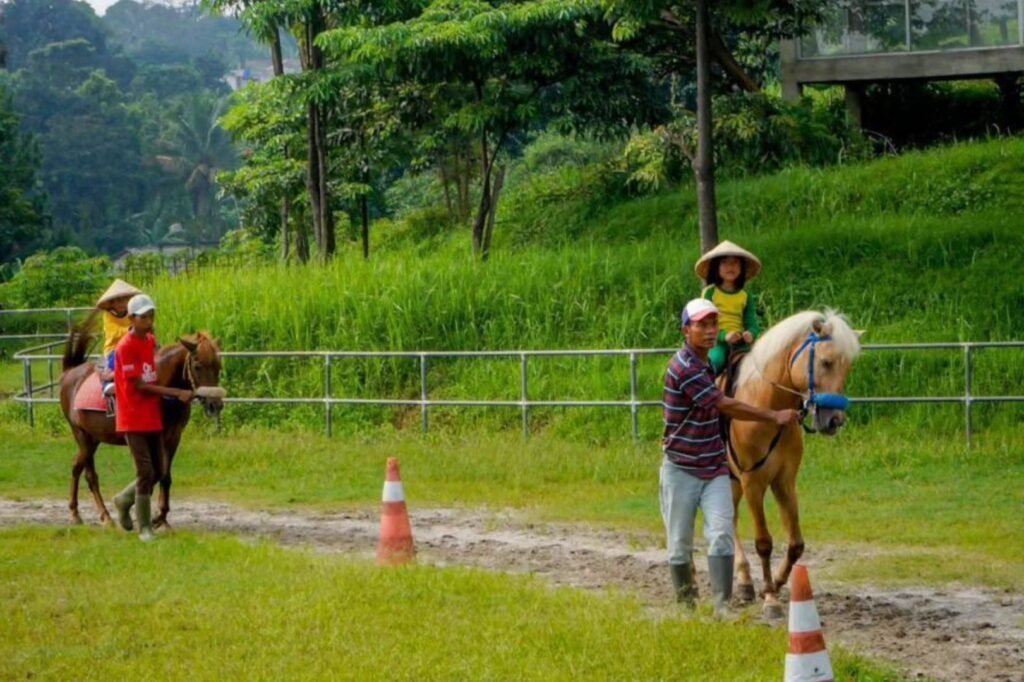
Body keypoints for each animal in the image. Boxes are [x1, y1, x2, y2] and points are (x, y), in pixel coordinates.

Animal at [58, 311, 223, 528]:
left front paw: (162, 518)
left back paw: (76, 513)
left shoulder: (173, 437)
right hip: (82, 435)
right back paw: (104, 516)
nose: (215, 405)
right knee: (90, 475)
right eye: (198, 366)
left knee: (76, 466)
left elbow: (164, 475)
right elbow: (152, 474)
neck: (160, 390)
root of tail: (70, 372)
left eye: (218, 366)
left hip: (93, 438)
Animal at [724, 307, 860, 614]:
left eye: (848, 367)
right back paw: (745, 581)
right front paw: (770, 599)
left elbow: (796, 544)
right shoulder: (753, 482)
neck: (766, 408)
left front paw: (776, 583)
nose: (834, 421)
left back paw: (744, 581)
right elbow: (763, 542)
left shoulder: (785, 481)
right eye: (825, 362)